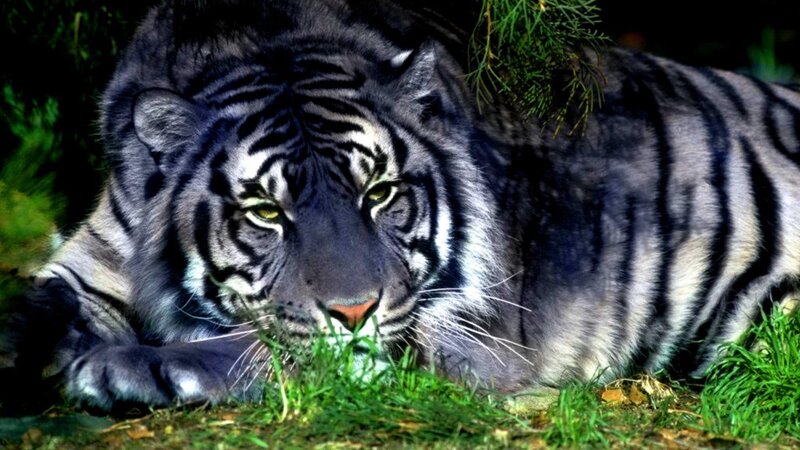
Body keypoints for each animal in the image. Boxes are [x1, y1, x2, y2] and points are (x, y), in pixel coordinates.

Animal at [2, 0, 800, 412]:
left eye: (380, 193)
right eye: (265, 212)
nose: (354, 310)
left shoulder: (459, 333)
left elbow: (273, 347)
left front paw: (124, 367)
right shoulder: (89, 263)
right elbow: (36, 306)